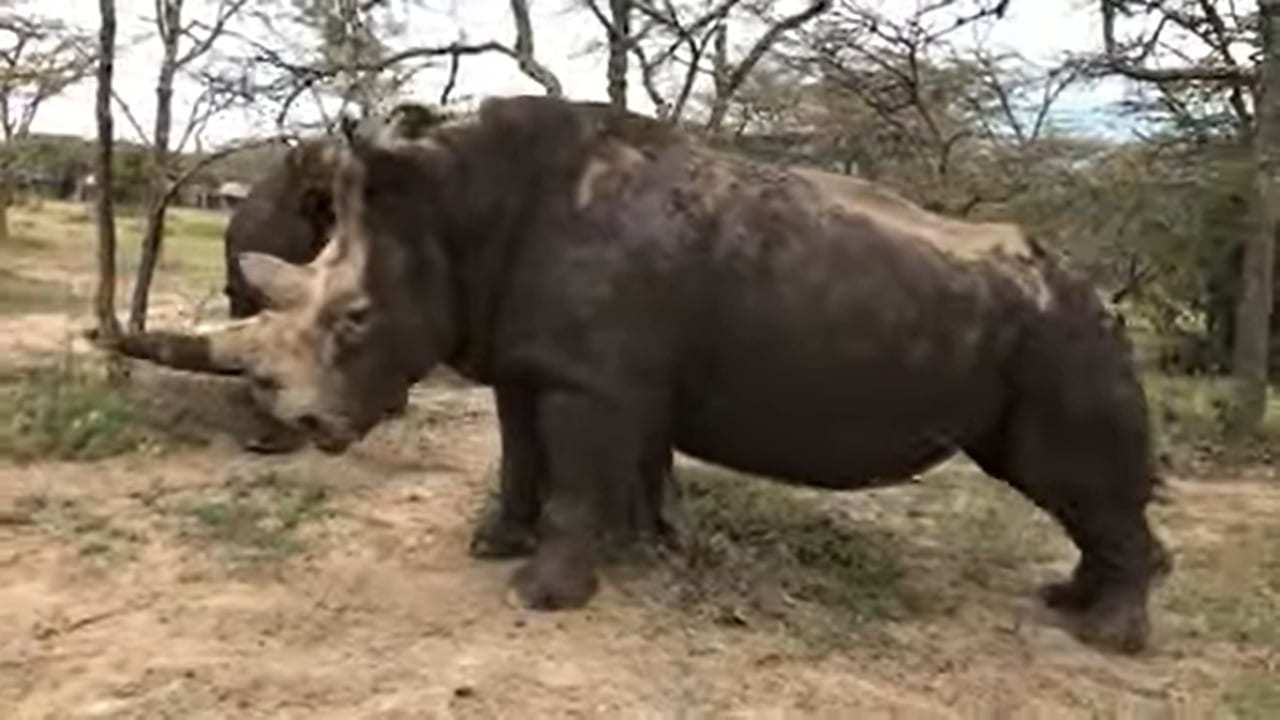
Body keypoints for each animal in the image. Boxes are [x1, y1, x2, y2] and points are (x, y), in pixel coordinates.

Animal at [107, 95, 1172, 655]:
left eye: (356, 320)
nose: (302, 427)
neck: (458, 212)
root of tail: (1103, 296)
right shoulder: (530, 362)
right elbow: (517, 457)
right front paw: (492, 548)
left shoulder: (596, 383)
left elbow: (577, 480)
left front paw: (543, 597)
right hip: (1044, 328)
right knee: (1065, 486)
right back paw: (1066, 604)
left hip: (1065, 336)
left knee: (1068, 476)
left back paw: (1104, 640)